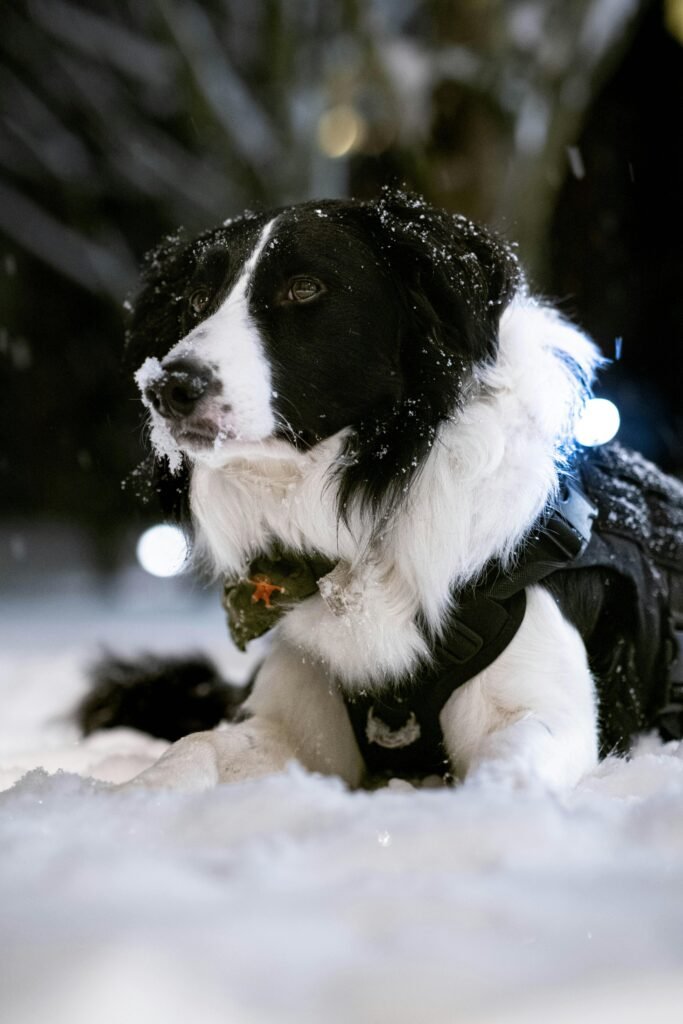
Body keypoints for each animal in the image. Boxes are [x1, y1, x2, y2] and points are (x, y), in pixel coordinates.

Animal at [118, 193, 683, 798]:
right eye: (198, 299)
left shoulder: (547, 715)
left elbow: (502, 772)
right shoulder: (297, 720)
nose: (166, 388)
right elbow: (196, 746)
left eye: (304, 288)